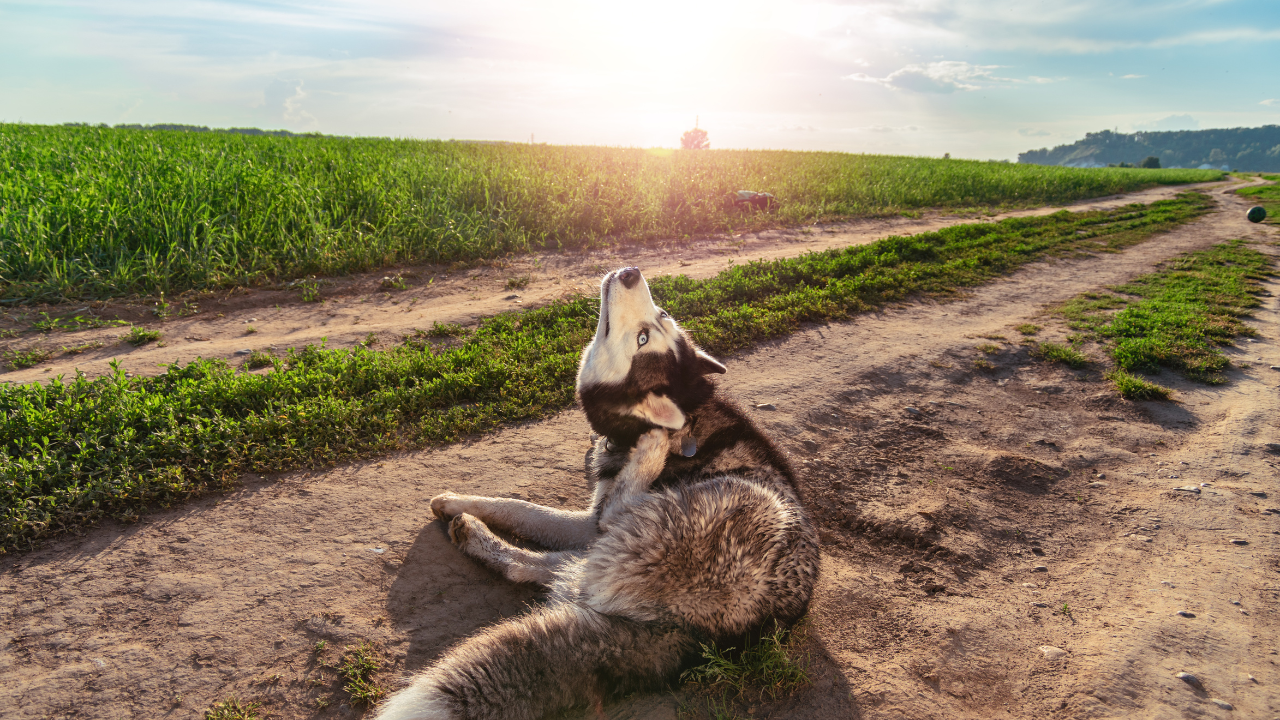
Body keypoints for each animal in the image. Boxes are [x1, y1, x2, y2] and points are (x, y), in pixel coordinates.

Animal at [373, 265, 819, 717]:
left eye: (643, 338)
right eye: (660, 317)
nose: (631, 272)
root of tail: (698, 637)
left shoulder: (594, 521)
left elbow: (526, 508)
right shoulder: (589, 522)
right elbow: (524, 509)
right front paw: (454, 502)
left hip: (731, 510)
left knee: (562, 559)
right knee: (552, 570)